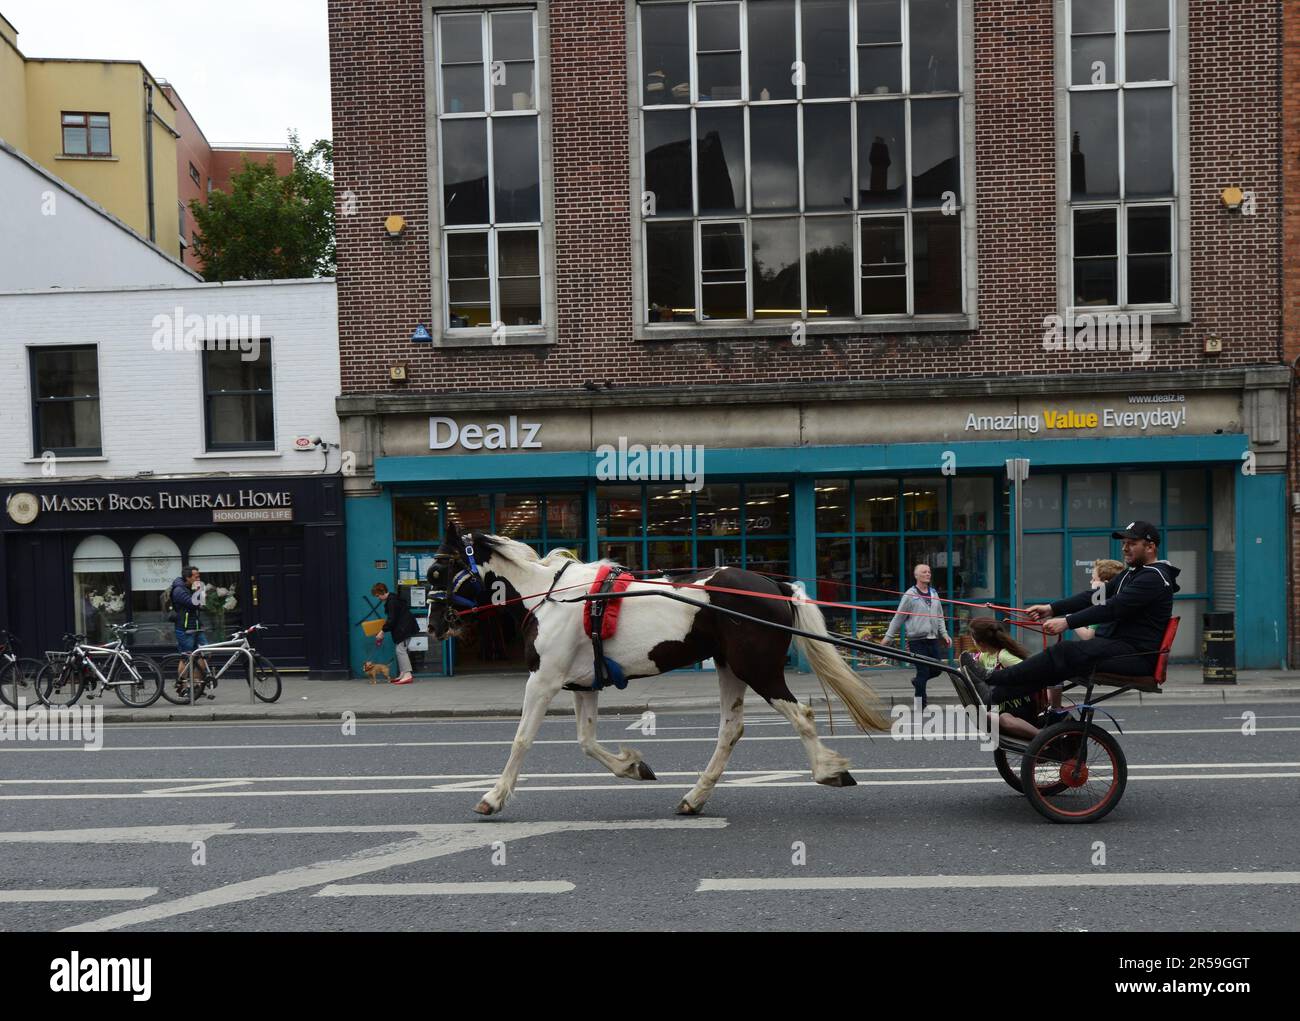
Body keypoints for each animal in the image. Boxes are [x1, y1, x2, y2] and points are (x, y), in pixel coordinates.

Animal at [426, 522, 894, 816]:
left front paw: (494, 796)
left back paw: (827, 770)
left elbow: (522, 739)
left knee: (801, 715)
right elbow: (586, 741)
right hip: (730, 668)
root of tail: (773, 583)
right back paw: (695, 796)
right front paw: (631, 766)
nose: (432, 626)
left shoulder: (543, 681)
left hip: (757, 669)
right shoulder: (582, 684)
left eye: (437, 570)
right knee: (731, 730)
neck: (549, 596)